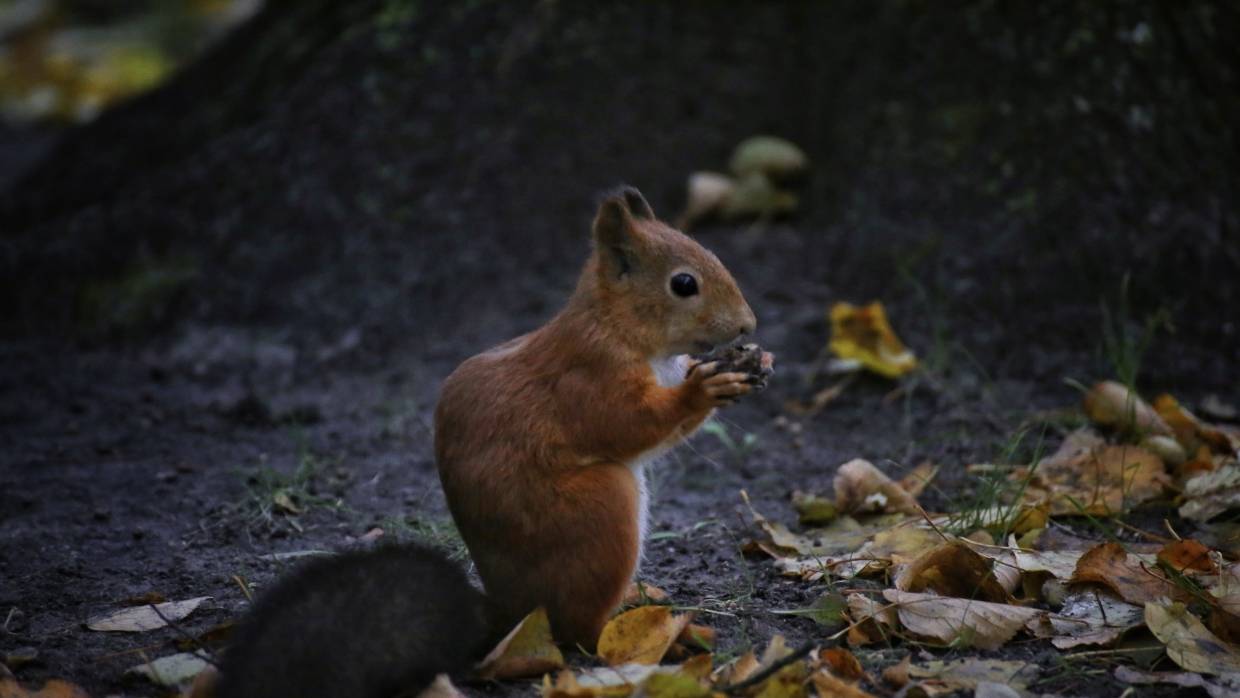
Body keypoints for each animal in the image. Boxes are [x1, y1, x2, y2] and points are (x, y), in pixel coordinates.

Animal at [215, 185, 773, 698]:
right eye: (684, 284)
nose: (748, 324)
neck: (618, 327)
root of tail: (515, 614)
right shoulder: (588, 379)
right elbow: (629, 425)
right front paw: (704, 388)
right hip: (600, 513)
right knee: (583, 633)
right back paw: (657, 637)